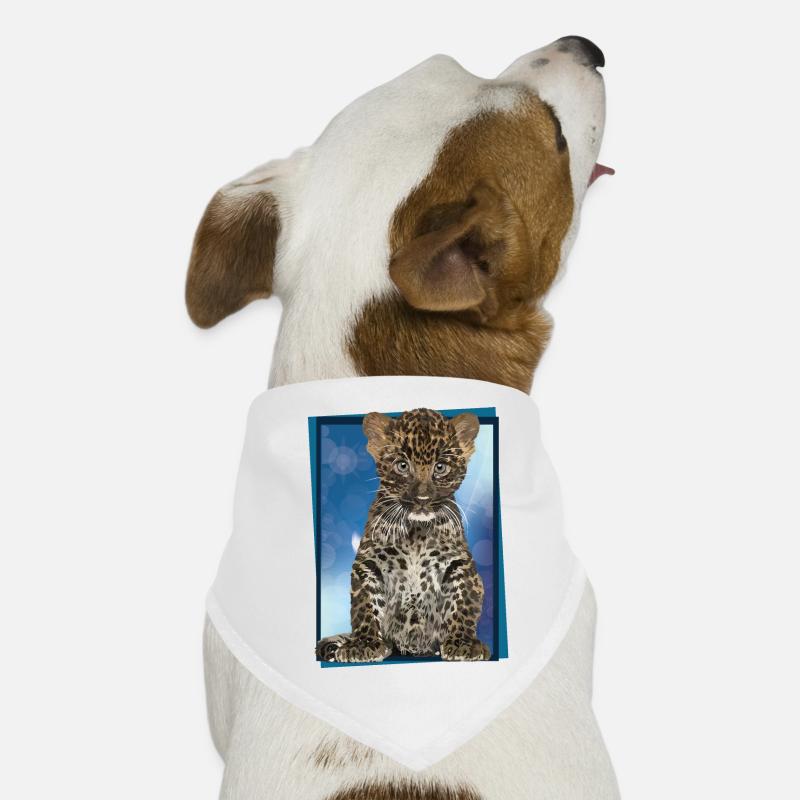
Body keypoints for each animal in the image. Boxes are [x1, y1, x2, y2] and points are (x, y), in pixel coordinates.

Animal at [316, 408, 490, 664]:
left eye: (440, 467)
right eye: (402, 466)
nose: (422, 499)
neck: (416, 531)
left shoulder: (459, 563)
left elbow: (463, 602)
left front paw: (463, 644)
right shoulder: (368, 563)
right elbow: (365, 604)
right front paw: (363, 644)